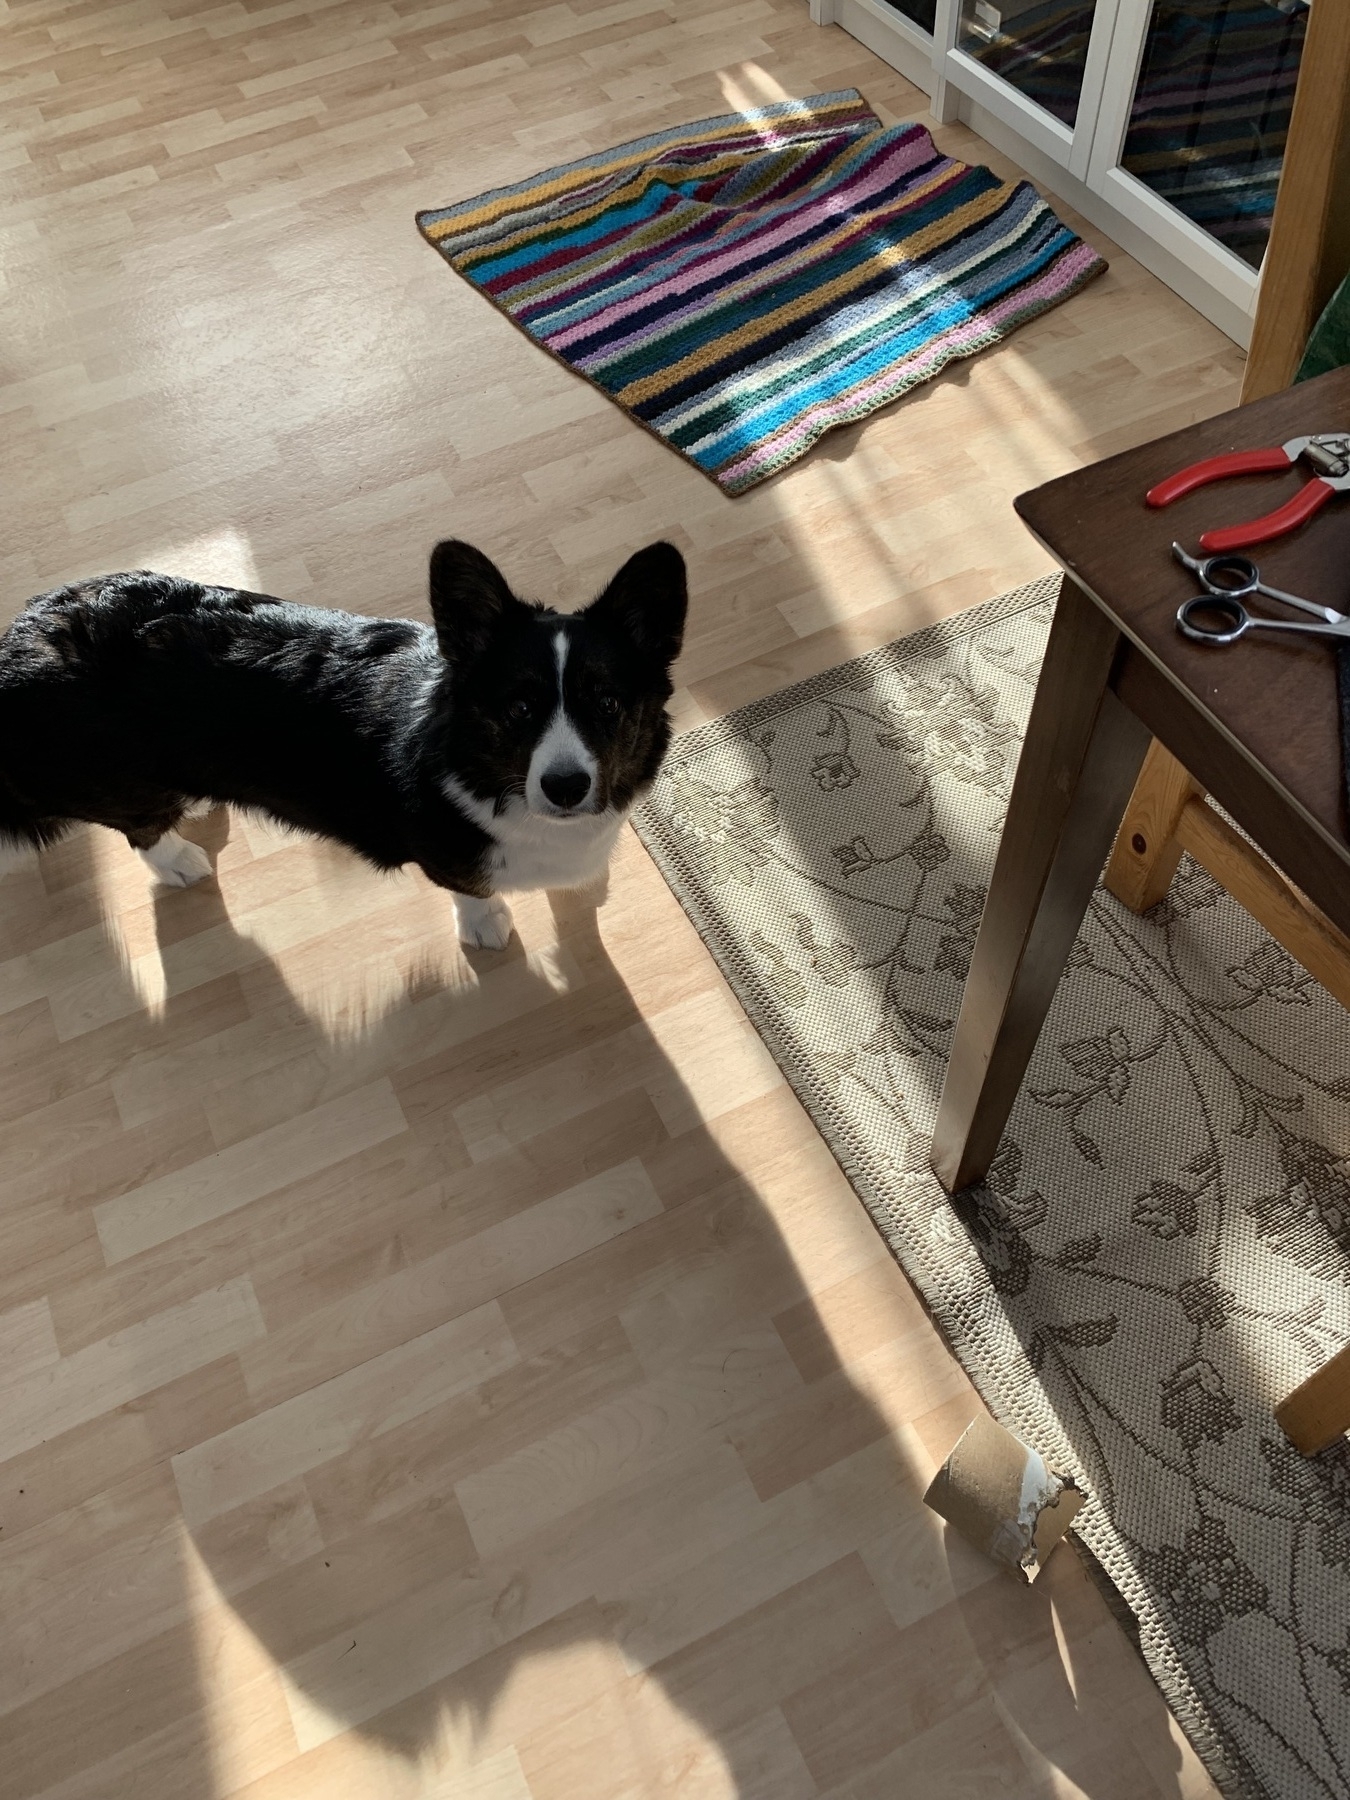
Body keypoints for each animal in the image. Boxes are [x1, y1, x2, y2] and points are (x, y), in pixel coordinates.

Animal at [0, 536, 687, 950]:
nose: (566, 788)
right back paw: (179, 859)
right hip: (120, 780)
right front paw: (488, 927)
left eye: (608, 704)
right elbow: (472, 891)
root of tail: (22, 633)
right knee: (139, 827)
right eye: (519, 709)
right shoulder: (451, 859)